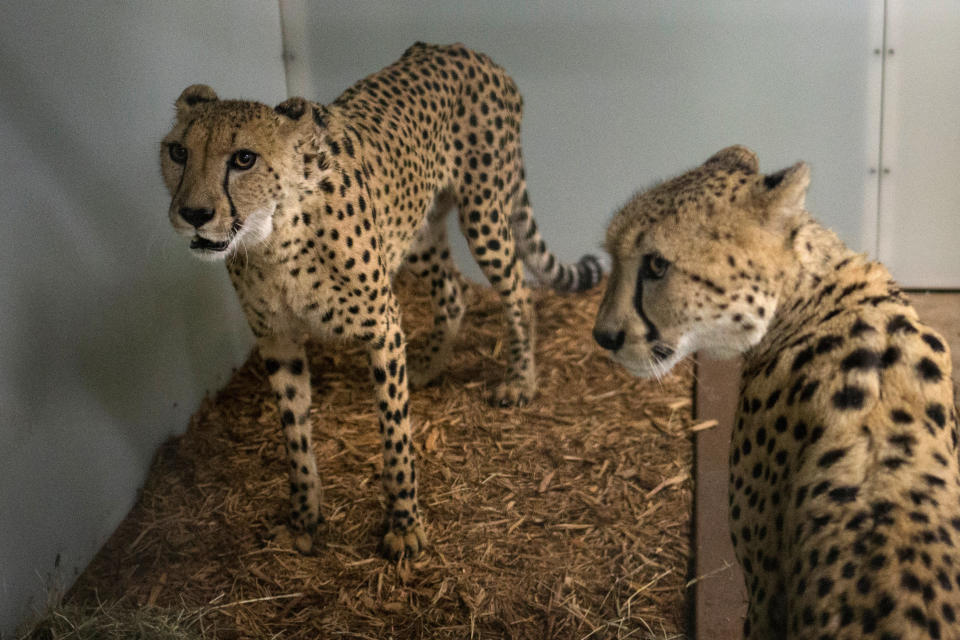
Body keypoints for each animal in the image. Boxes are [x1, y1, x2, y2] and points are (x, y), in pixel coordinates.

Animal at [161, 42, 604, 556]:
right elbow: (295, 435)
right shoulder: (278, 340)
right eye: (178, 152)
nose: (193, 213)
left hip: (483, 213)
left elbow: (395, 433)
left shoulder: (384, 327)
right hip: (417, 229)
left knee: (518, 288)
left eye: (244, 158)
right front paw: (303, 519)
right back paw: (430, 365)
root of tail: (464, 49)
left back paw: (520, 380)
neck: (273, 239)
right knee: (452, 290)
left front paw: (404, 524)